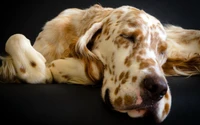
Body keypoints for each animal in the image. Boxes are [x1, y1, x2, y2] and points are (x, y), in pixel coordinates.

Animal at [0, 4, 200, 123]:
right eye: (127, 36)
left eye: (162, 50)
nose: (157, 88)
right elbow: (15, 38)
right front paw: (38, 66)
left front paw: (63, 69)